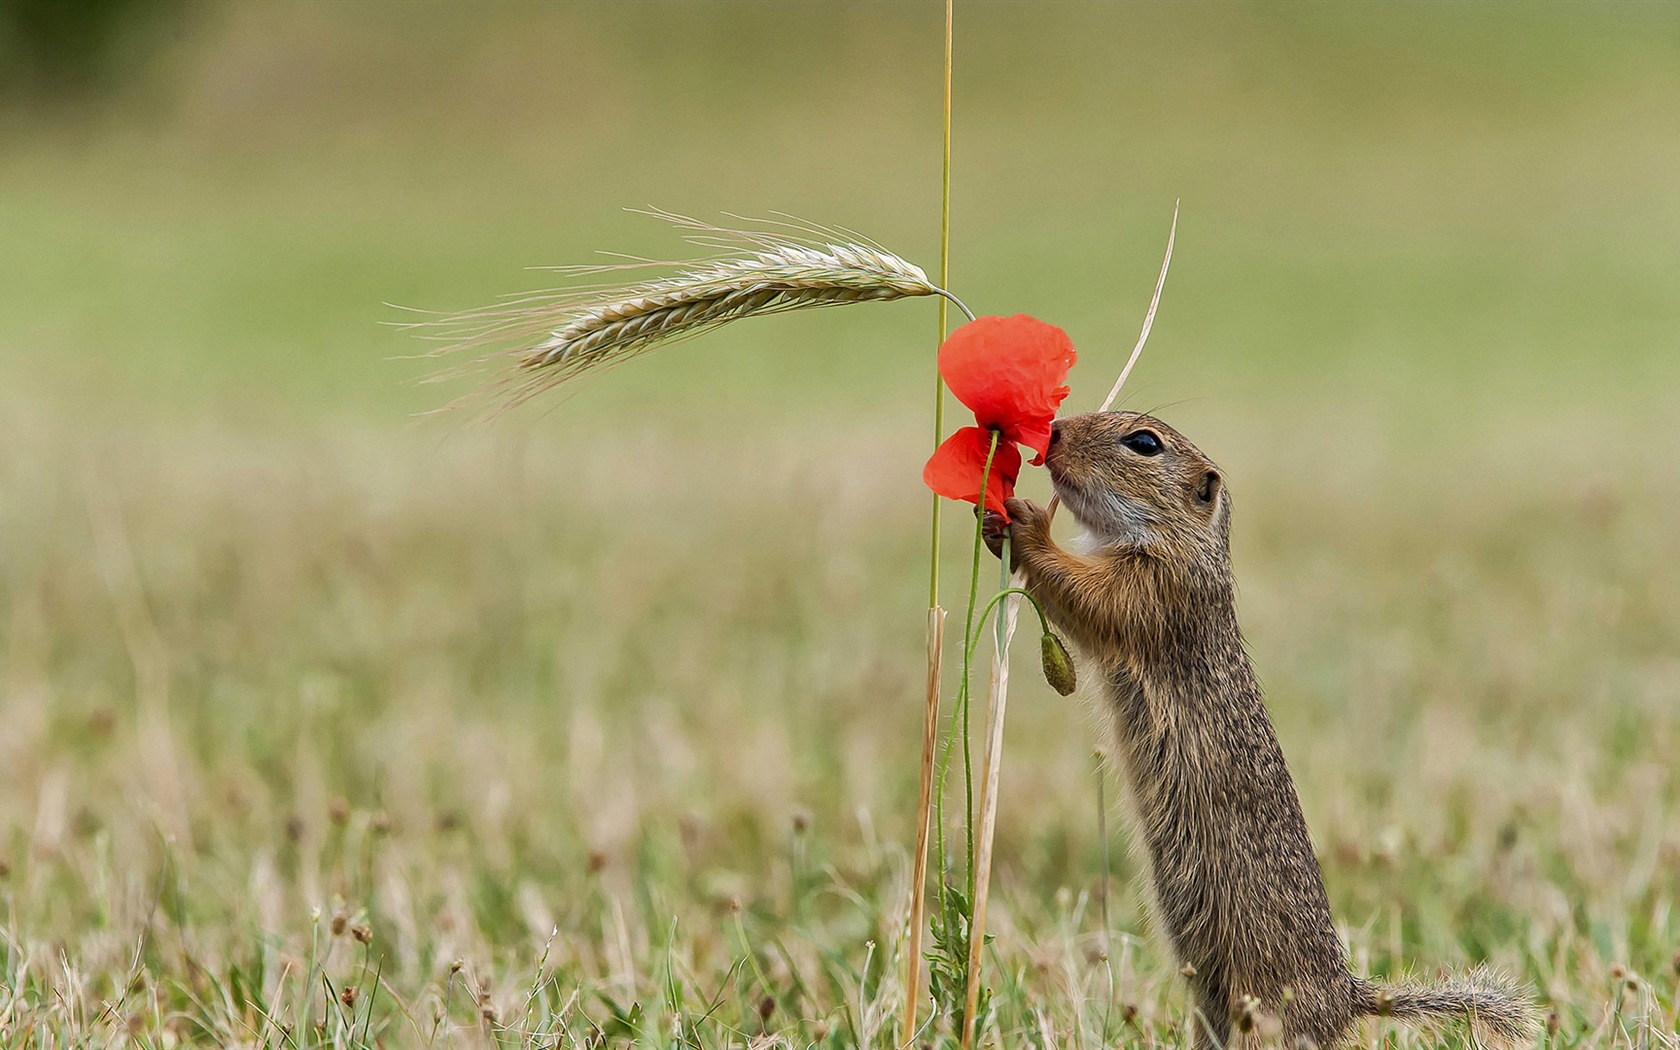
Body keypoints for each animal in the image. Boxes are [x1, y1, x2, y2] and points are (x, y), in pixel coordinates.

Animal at [981, 409, 1538, 1048]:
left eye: (1144, 443)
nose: (1051, 434)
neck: (1182, 543)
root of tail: (1346, 1000)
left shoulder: (1156, 588)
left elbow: (1088, 596)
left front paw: (1025, 524)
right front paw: (995, 523)